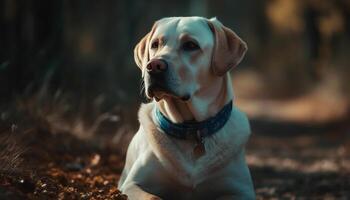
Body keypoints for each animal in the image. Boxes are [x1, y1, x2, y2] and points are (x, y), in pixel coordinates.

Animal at [118, 16, 254, 199]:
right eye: (155, 44)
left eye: (191, 45)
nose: (153, 66)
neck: (192, 129)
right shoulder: (131, 185)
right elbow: (153, 196)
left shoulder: (242, 190)